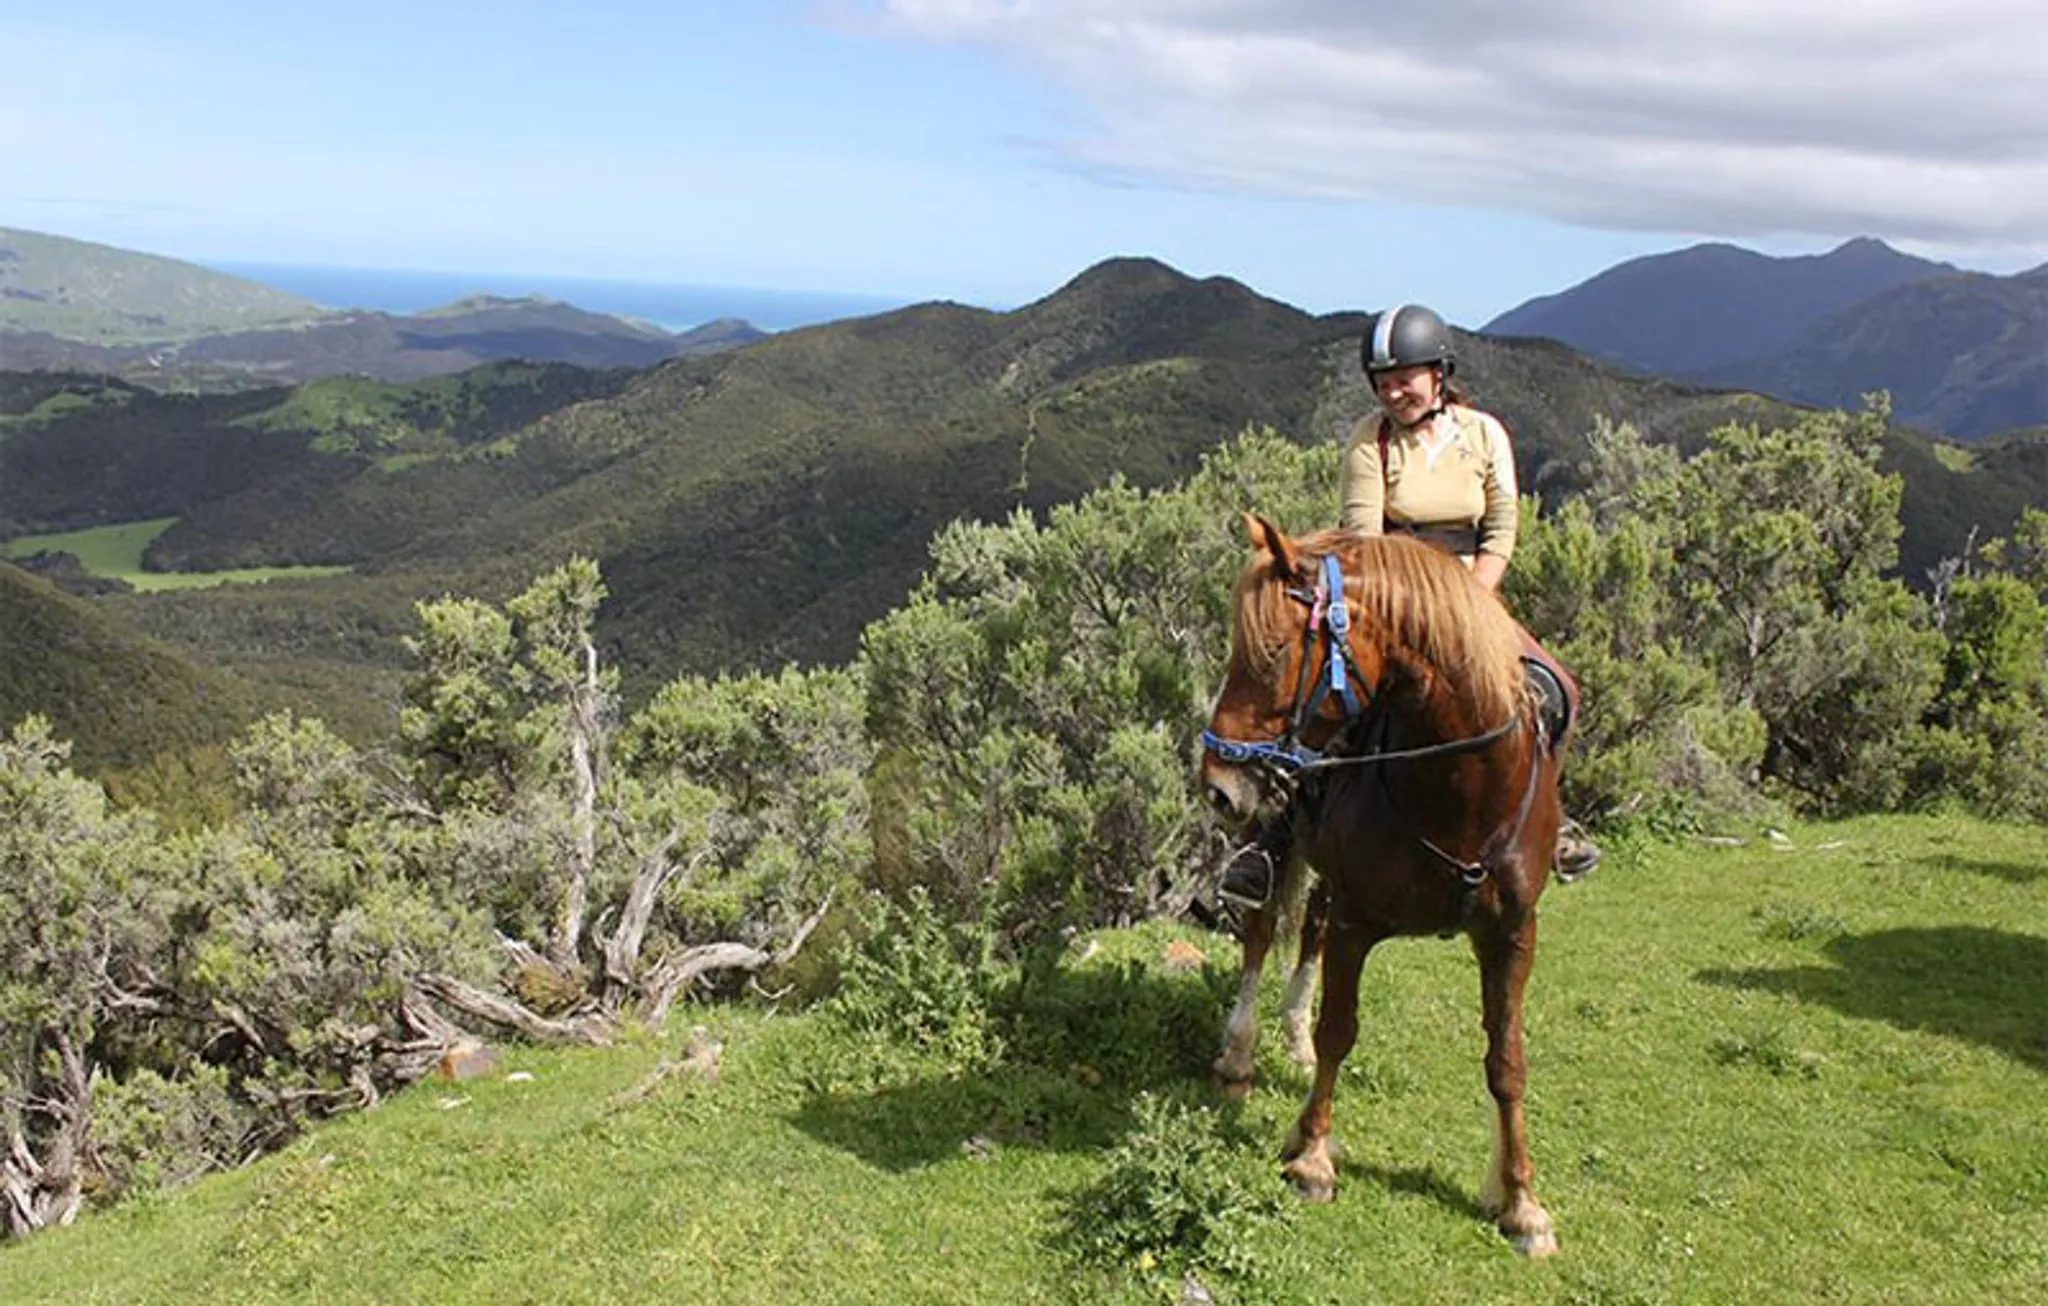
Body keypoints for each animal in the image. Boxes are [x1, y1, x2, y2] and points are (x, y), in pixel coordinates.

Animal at [1198, 513, 1564, 1257]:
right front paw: (1312, 1158)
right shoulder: (1358, 921)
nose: (1217, 785)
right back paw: (1240, 1056)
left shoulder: (1513, 931)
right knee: (1260, 937)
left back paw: (1293, 1041)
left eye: (1273, 652)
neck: (1461, 793)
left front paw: (1521, 1201)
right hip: (1280, 844)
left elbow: (1507, 1058)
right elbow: (1341, 1029)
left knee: (1306, 926)